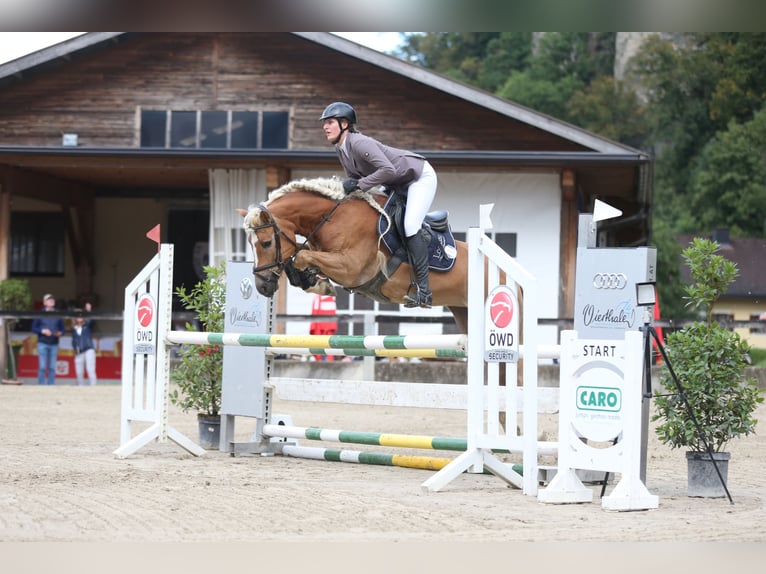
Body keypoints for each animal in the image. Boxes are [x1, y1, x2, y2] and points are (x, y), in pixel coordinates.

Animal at [238, 178, 474, 336]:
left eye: (266, 242)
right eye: (249, 243)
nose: (262, 287)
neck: (332, 218)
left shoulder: (351, 267)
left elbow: (301, 255)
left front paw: (319, 284)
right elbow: (298, 256)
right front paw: (317, 283)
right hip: (463, 312)